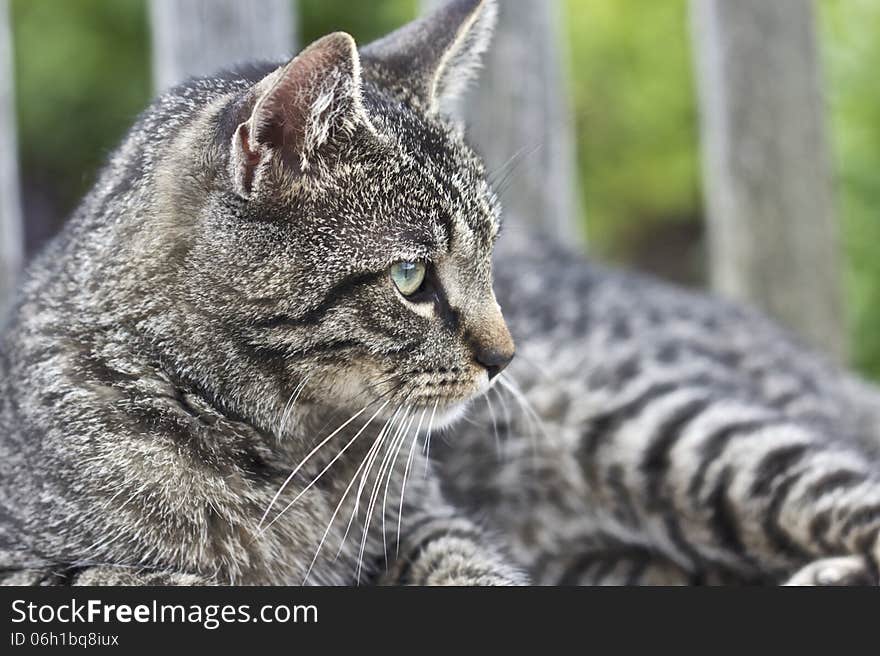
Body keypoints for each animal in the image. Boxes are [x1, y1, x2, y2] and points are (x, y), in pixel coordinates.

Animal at [1, 0, 880, 584]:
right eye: (411, 279)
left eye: (490, 253)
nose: (506, 357)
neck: (281, 449)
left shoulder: (430, 521)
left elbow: (466, 567)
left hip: (670, 432)